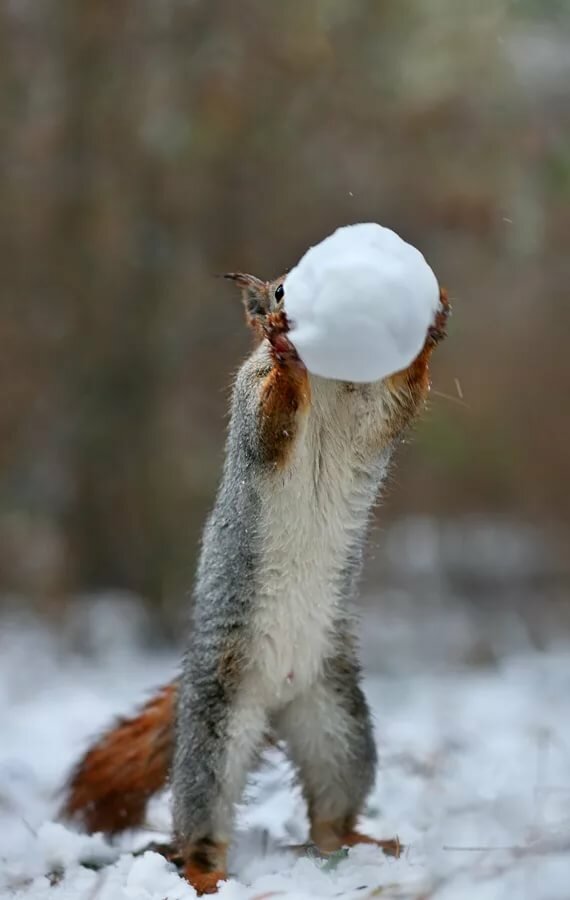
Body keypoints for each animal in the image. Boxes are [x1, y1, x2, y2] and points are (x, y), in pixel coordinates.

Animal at [61, 270, 449, 893]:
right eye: (278, 291)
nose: (290, 311)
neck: (328, 382)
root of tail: (279, 694)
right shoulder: (251, 400)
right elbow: (272, 420)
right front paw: (285, 352)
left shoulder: (372, 414)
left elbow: (395, 406)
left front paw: (429, 331)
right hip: (215, 729)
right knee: (202, 814)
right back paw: (202, 873)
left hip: (338, 725)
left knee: (331, 813)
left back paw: (362, 843)